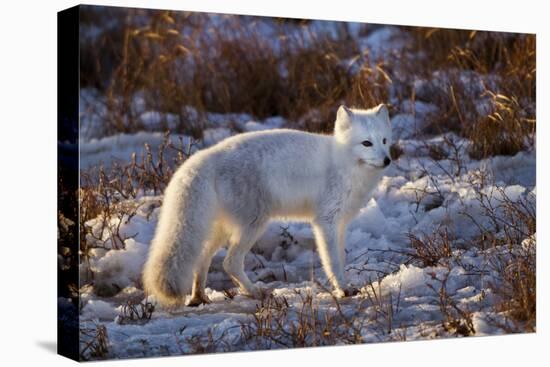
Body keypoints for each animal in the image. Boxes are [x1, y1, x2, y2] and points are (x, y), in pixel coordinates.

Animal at [142, 104, 392, 308]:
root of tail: (206, 156)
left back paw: (199, 297)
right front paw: (343, 289)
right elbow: (332, 260)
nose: (388, 160)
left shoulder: (340, 224)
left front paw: (345, 285)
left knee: (202, 258)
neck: (343, 162)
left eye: (384, 141)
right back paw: (256, 292)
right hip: (253, 224)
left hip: (223, 228)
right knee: (230, 263)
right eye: (366, 143)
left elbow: (340, 257)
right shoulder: (325, 221)